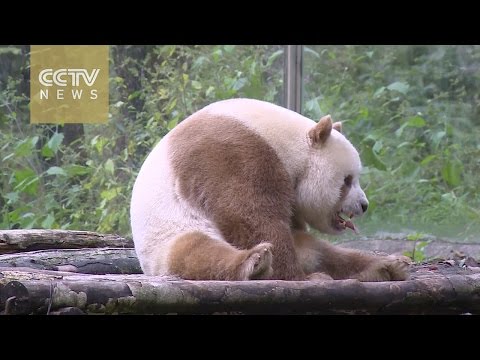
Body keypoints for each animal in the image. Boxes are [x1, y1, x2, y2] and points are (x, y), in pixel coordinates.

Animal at [129, 97, 410, 282]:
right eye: (347, 180)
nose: (363, 205)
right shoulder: (230, 151)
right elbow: (248, 215)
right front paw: (296, 277)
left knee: (324, 252)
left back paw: (387, 265)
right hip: (168, 235)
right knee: (197, 251)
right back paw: (257, 263)